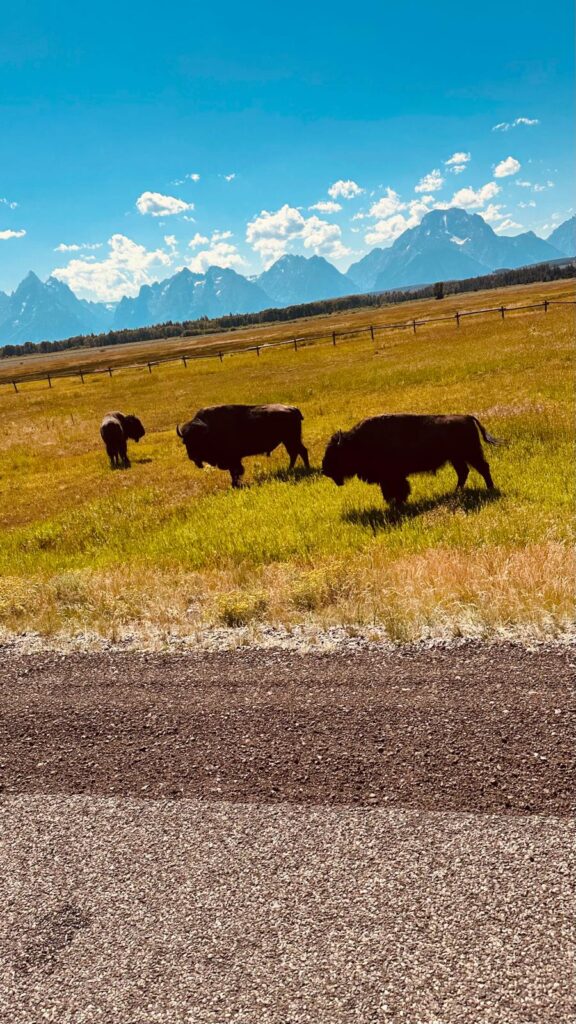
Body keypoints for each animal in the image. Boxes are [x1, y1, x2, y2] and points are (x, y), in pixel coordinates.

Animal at [176, 403, 309, 487]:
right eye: (185, 441)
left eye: (198, 440)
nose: (192, 457)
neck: (208, 430)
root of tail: (293, 409)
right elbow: (234, 472)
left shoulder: (233, 459)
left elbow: (236, 471)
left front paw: (236, 485)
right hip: (288, 440)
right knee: (295, 453)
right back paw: (291, 469)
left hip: (291, 439)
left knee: (301, 451)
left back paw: (303, 469)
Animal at [322, 414, 503, 506]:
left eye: (334, 453)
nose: (324, 470)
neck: (357, 442)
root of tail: (466, 416)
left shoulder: (392, 476)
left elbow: (397, 489)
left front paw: (397, 503)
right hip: (456, 458)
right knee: (464, 472)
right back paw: (456, 492)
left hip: (470, 454)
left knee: (483, 468)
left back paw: (490, 488)